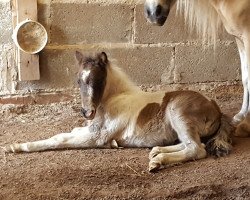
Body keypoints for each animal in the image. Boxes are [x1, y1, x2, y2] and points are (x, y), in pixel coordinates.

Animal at [2, 51, 232, 172]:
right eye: (78, 81)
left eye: (98, 81)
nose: (87, 112)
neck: (111, 102)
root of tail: (215, 107)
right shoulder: (90, 129)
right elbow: (66, 133)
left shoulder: (96, 137)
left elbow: (58, 140)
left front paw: (14, 147)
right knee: (188, 143)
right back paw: (156, 152)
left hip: (178, 113)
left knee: (196, 148)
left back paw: (158, 161)